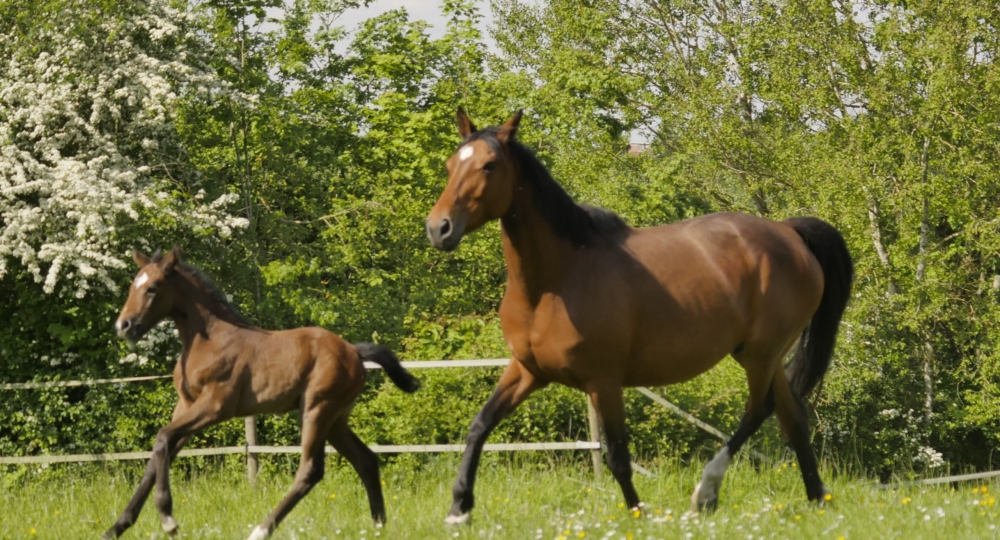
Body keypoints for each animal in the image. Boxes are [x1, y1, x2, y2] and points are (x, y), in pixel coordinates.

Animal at [99, 248, 416, 540]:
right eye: (132, 285)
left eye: (153, 288)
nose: (124, 326)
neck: (208, 340)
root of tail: (354, 352)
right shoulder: (186, 405)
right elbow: (156, 457)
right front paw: (115, 528)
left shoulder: (216, 405)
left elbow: (163, 437)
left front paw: (168, 519)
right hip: (336, 419)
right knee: (366, 461)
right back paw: (378, 527)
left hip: (317, 409)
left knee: (310, 470)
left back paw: (261, 530)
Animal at [426, 109, 856, 524]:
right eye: (450, 165)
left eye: (489, 165)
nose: (438, 228)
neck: (557, 280)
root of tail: (789, 231)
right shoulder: (527, 370)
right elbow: (479, 426)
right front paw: (458, 509)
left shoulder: (603, 381)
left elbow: (618, 454)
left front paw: (637, 513)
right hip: (762, 354)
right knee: (792, 415)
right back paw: (818, 497)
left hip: (760, 355)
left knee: (758, 411)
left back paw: (706, 491)